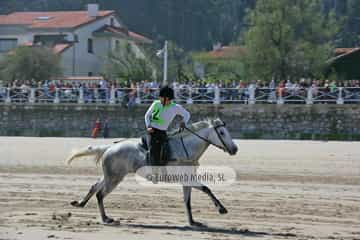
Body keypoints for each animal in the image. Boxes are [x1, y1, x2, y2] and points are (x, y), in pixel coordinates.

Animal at [66, 118, 238, 227]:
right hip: (114, 178)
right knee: (100, 194)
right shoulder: (187, 179)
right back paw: (106, 218)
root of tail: (109, 147)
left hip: (109, 176)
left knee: (94, 186)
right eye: (222, 133)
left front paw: (192, 222)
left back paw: (81, 203)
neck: (186, 148)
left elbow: (188, 201)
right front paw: (222, 209)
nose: (235, 149)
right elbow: (206, 189)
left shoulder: (187, 181)